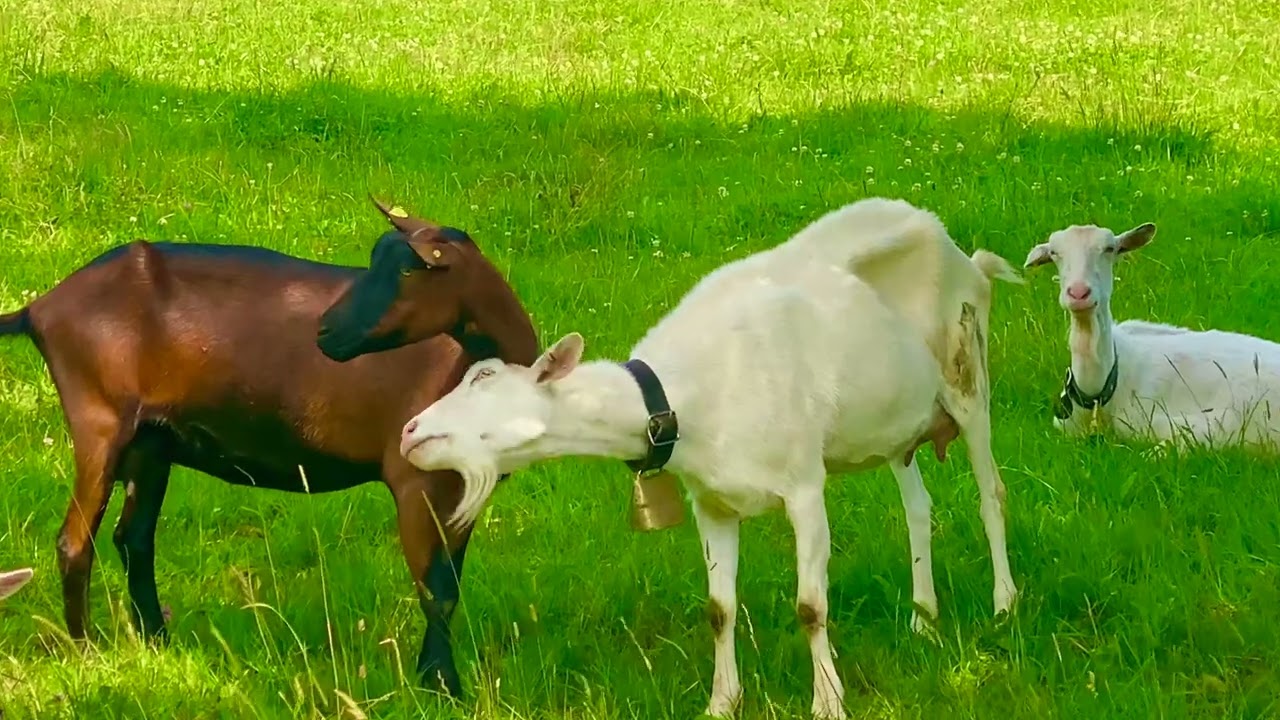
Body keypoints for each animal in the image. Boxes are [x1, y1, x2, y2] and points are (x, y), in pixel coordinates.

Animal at [0, 198, 538, 697]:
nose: (327, 331)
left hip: (150, 440)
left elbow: (449, 583)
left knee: (133, 537)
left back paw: (158, 640)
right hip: (100, 420)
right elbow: (436, 590)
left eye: (408, 269)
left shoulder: (462, 487)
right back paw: (85, 651)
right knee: (75, 542)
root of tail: (39, 308)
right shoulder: (416, 481)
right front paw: (442, 685)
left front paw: (438, 680)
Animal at [395, 197, 1021, 719]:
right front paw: (722, 703)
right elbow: (719, 608)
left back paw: (1004, 604)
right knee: (919, 507)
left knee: (991, 492)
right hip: (897, 428)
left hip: (970, 376)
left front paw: (827, 702)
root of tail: (962, 253)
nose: (409, 431)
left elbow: (810, 606)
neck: (681, 395)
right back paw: (924, 619)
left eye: (483, 377)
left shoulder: (804, 487)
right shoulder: (712, 502)